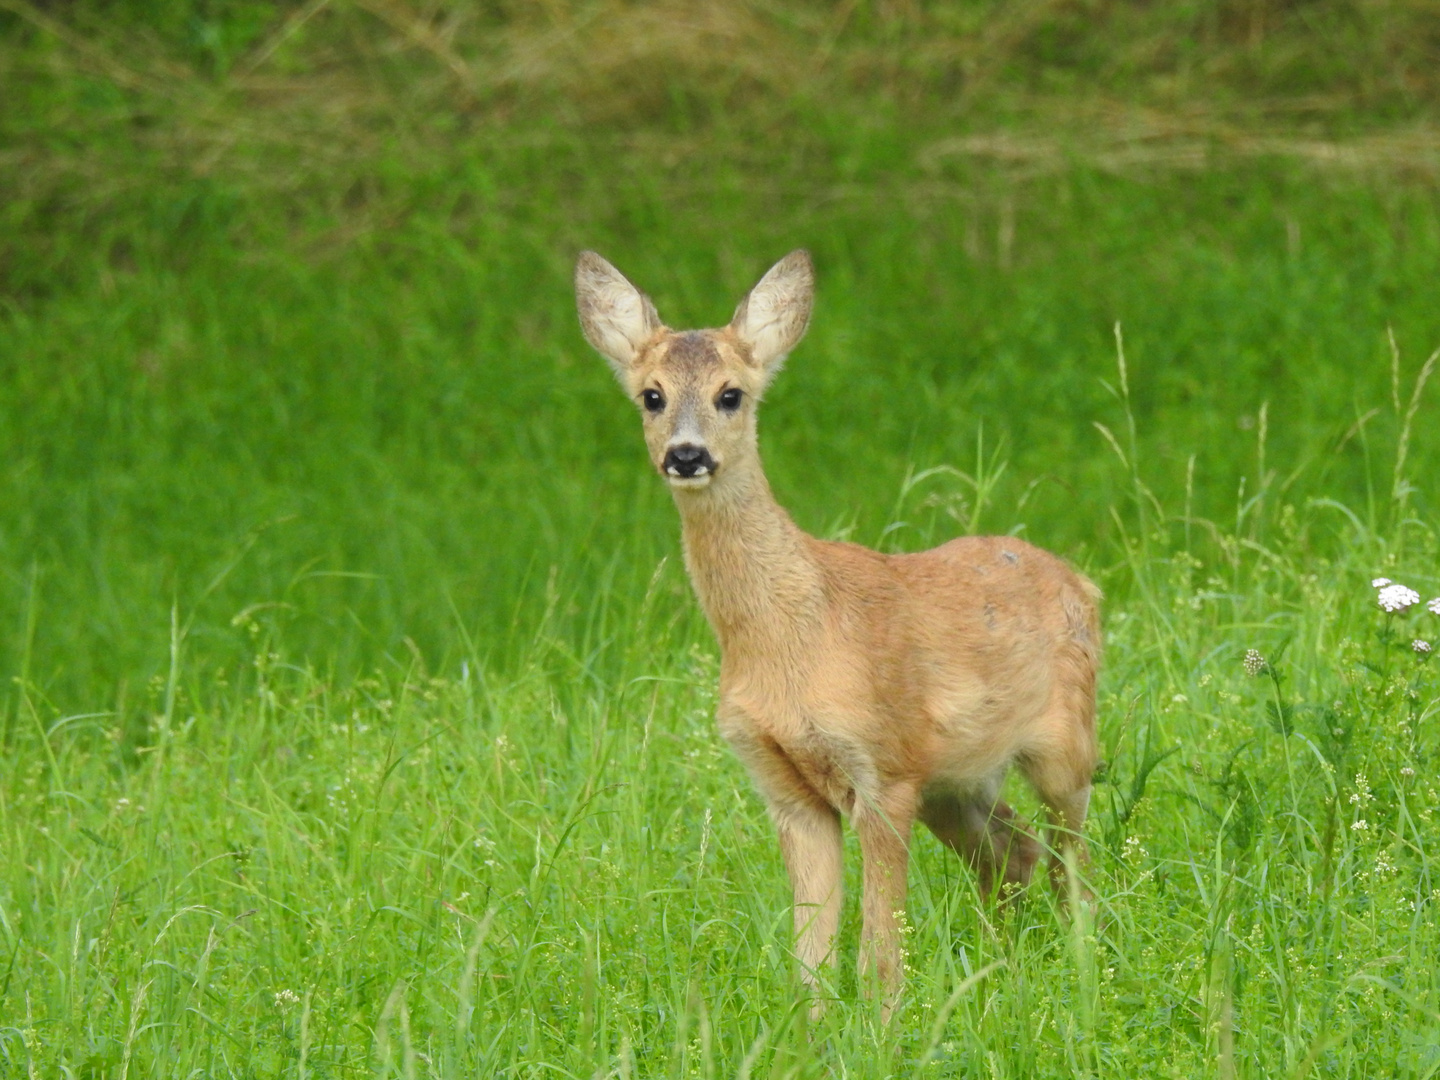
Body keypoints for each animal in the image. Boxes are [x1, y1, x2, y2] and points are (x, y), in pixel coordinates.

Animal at [573, 249, 1100, 1019]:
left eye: (731, 394)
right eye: (651, 395)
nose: (687, 455)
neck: (790, 638)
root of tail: (1082, 582)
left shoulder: (883, 767)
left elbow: (879, 950)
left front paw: (886, 1027)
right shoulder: (786, 787)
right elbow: (811, 956)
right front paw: (813, 1029)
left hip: (1064, 744)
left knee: (1075, 857)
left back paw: (1088, 963)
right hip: (956, 784)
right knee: (1016, 853)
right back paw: (1008, 964)